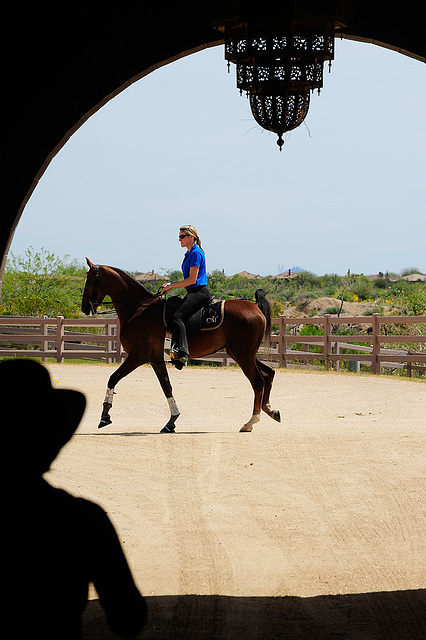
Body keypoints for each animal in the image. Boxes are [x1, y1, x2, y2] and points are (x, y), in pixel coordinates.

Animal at [80, 258, 280, 432]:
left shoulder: (137, 356)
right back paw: (270, 410)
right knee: (268, 374)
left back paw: (251, 421)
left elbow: (113, 378)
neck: (139, 309)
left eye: (89, 280)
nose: (84, 307)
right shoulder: (156, 360)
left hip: (243, 355)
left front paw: (105, 416)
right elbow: (166, 387)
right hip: (242, 354)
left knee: (258, 381)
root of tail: (254, 306)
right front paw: (171, 422)